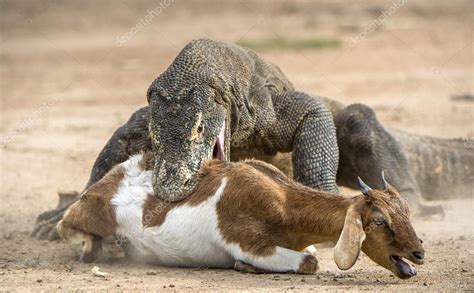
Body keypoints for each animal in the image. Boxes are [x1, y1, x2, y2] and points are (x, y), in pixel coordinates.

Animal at [57, 152, 424, 278]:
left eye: (407, 212)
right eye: (380, 221)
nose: (418, 252)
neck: (283, 202)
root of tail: (123, 169)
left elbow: (308, 253)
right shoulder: (247, 241)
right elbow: (309, 261)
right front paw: (242, 266)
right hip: (93, 211)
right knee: (65, 223)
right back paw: (92, 247)